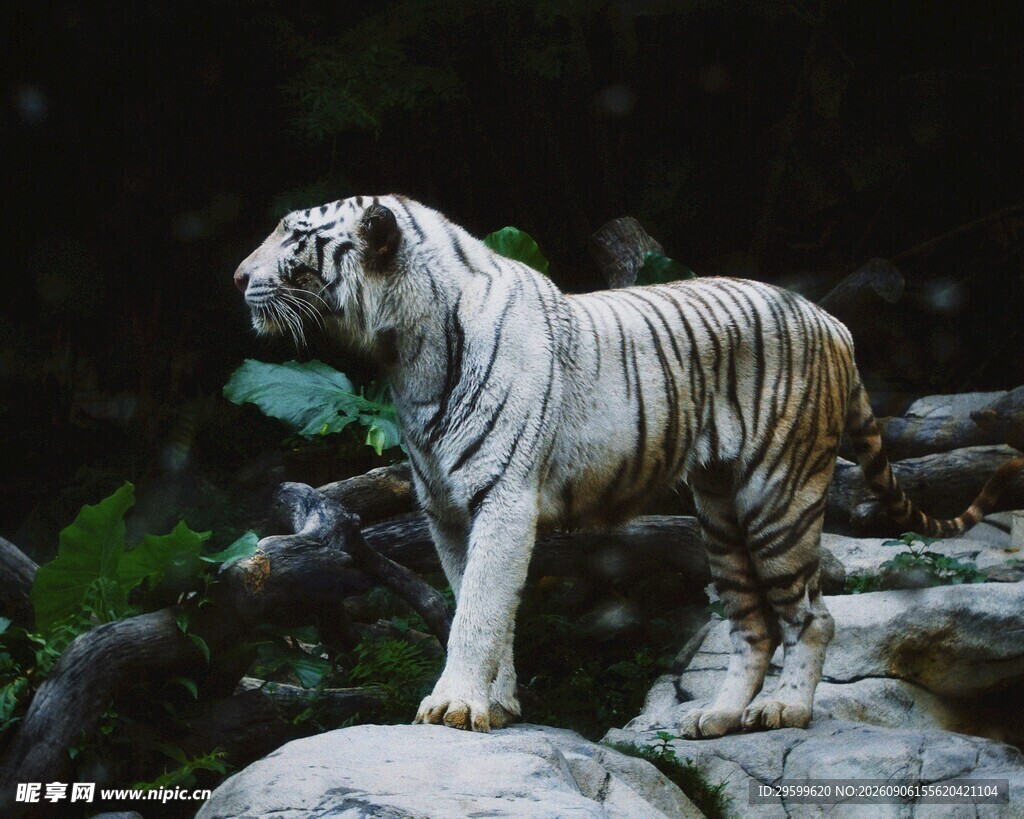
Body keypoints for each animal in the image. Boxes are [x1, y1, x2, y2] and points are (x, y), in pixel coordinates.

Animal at [233, 194, 1024, 738]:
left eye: (293, 236)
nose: (238, 276)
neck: (405, 355)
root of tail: (832, 322)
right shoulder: (447, 511)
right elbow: (476, 602)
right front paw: (498, 702)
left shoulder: (502, 499)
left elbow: (479, 610)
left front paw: (455, 704)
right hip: (719, 511)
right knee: (753, 626)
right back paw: (714, 717)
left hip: (779, 497)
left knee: (812, 617)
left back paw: (784, 711)